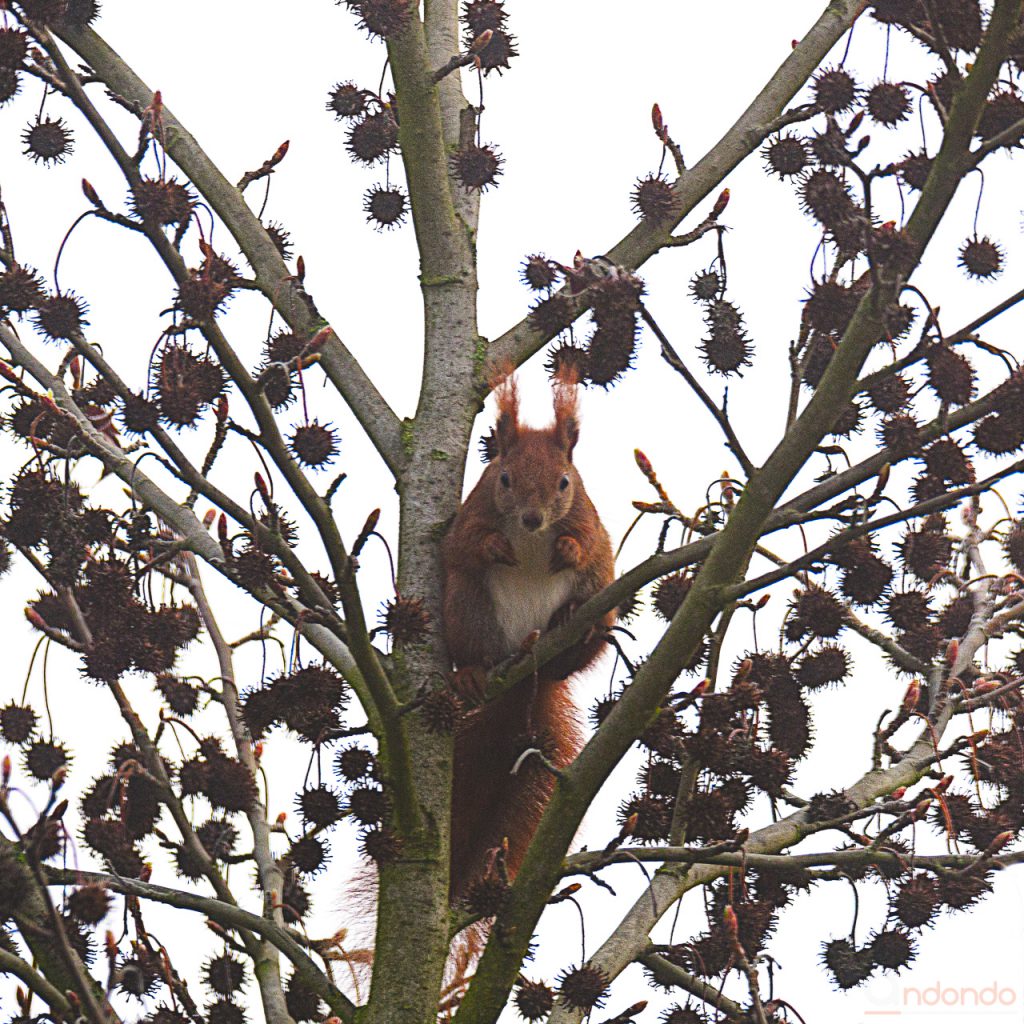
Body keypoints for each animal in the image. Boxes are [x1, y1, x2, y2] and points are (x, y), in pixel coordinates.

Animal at [442, 372, 614, 901]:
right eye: (503, 478)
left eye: (564, 481)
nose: (534, 519)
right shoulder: (470, 516)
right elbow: (467, 543)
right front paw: (496, 545)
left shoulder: (589, 519)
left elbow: (587, 543)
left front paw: (566, 548)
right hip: (467, 607)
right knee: (475, 645)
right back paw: (473, 674)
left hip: (602, 595)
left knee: (580, 644)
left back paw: (572, 630)